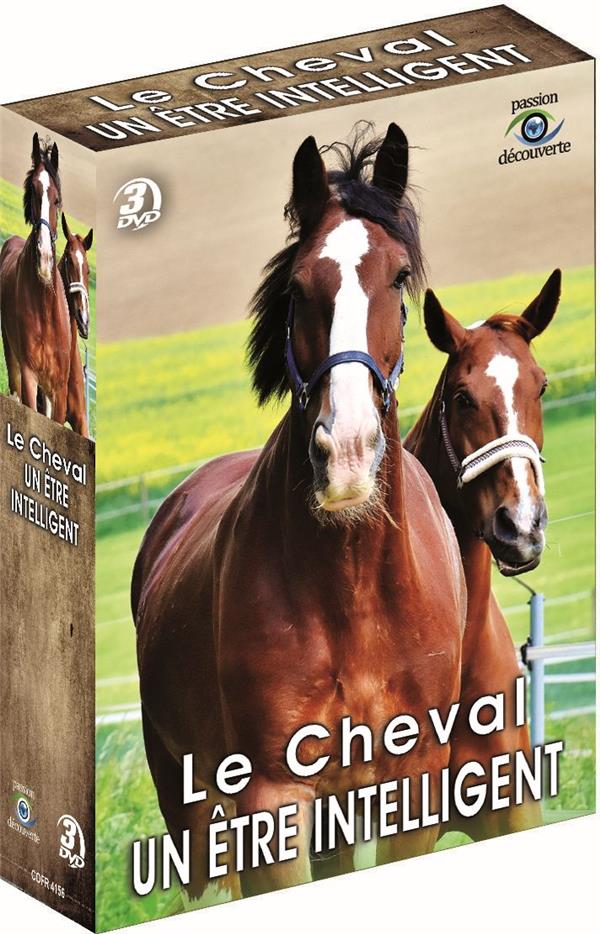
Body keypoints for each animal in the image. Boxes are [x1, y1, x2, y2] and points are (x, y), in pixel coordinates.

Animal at [132, 123, 467, 902]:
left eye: (398, 277)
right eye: (298, 285)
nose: (345, 452)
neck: (354, 594)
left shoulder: (411, 787)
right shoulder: (271, 796)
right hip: (184, 798)